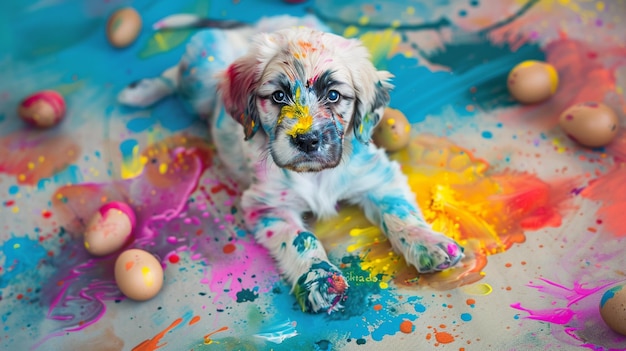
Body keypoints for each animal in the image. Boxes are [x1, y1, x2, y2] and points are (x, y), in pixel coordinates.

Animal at [120, 15, 464, 314]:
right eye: (279, 96)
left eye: (334, 96)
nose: (307, 141)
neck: (318, 176)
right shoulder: (267, 205)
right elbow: (302, 239)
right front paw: (320, 280)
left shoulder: (378, 176)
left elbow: (400, 213)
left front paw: (428, 243)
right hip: (200, 79)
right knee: (174, 76)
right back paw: (141, 91)